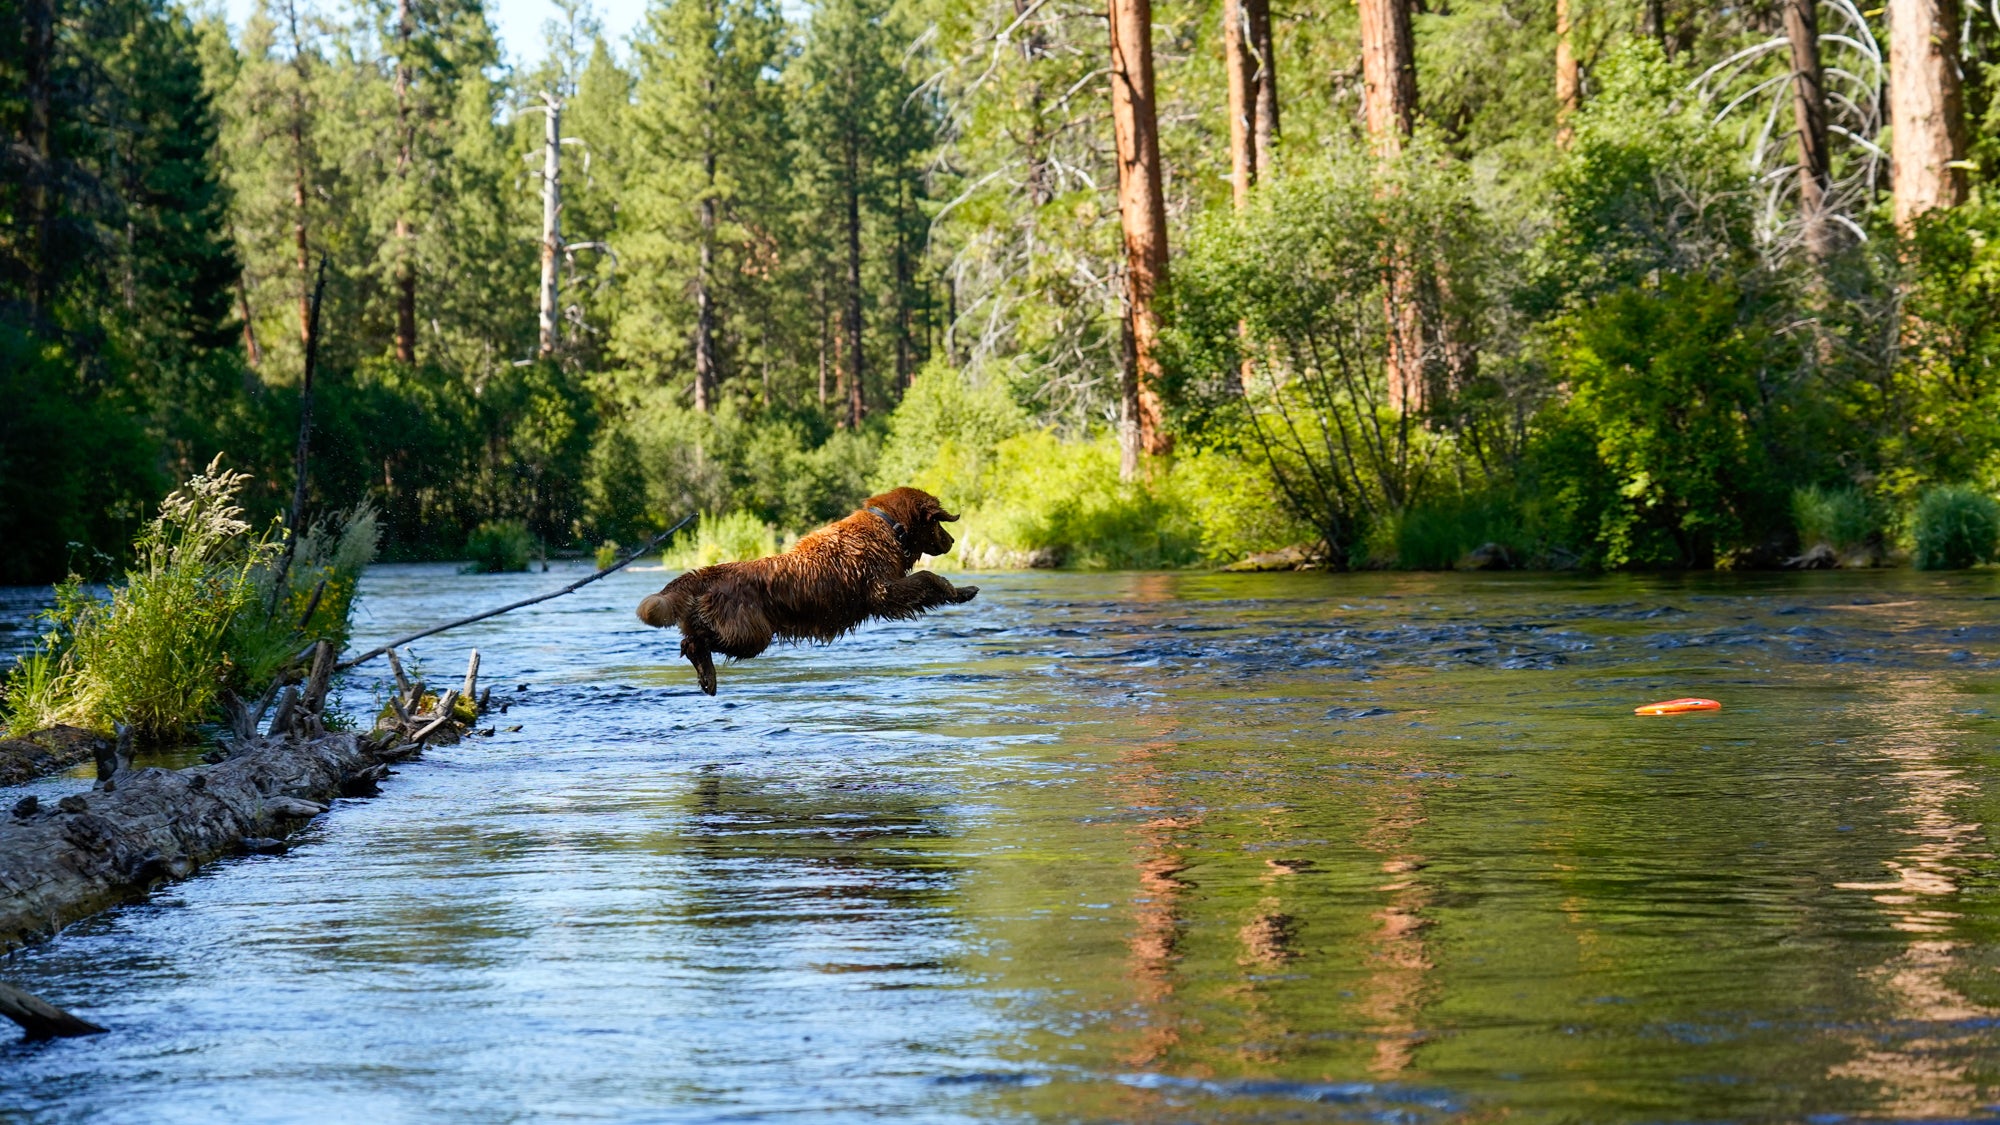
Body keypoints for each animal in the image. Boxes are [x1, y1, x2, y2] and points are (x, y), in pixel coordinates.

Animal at [636, 484, 980, 688]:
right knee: (696, 642)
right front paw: (959, 591)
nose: (951, 541)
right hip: (752, 634)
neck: (889, 527)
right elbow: (929, 578)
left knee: (692, 638)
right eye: (938, 523)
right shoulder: (883, 592)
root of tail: (708, 571)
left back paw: (707, 676)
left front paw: (962, 592)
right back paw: (705, 669)